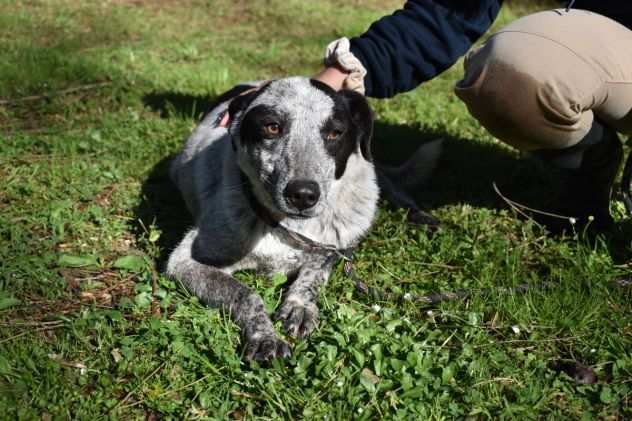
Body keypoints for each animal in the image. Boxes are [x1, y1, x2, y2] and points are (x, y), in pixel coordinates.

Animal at [165, 77, 378, 360]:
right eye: (272, 127)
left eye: (335, 133)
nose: (303, 195)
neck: (287, 226)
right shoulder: (185, 261)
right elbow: (244, 293)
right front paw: (265, 336)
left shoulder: (336, 248)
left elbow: (313, 275)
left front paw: (299, 305)